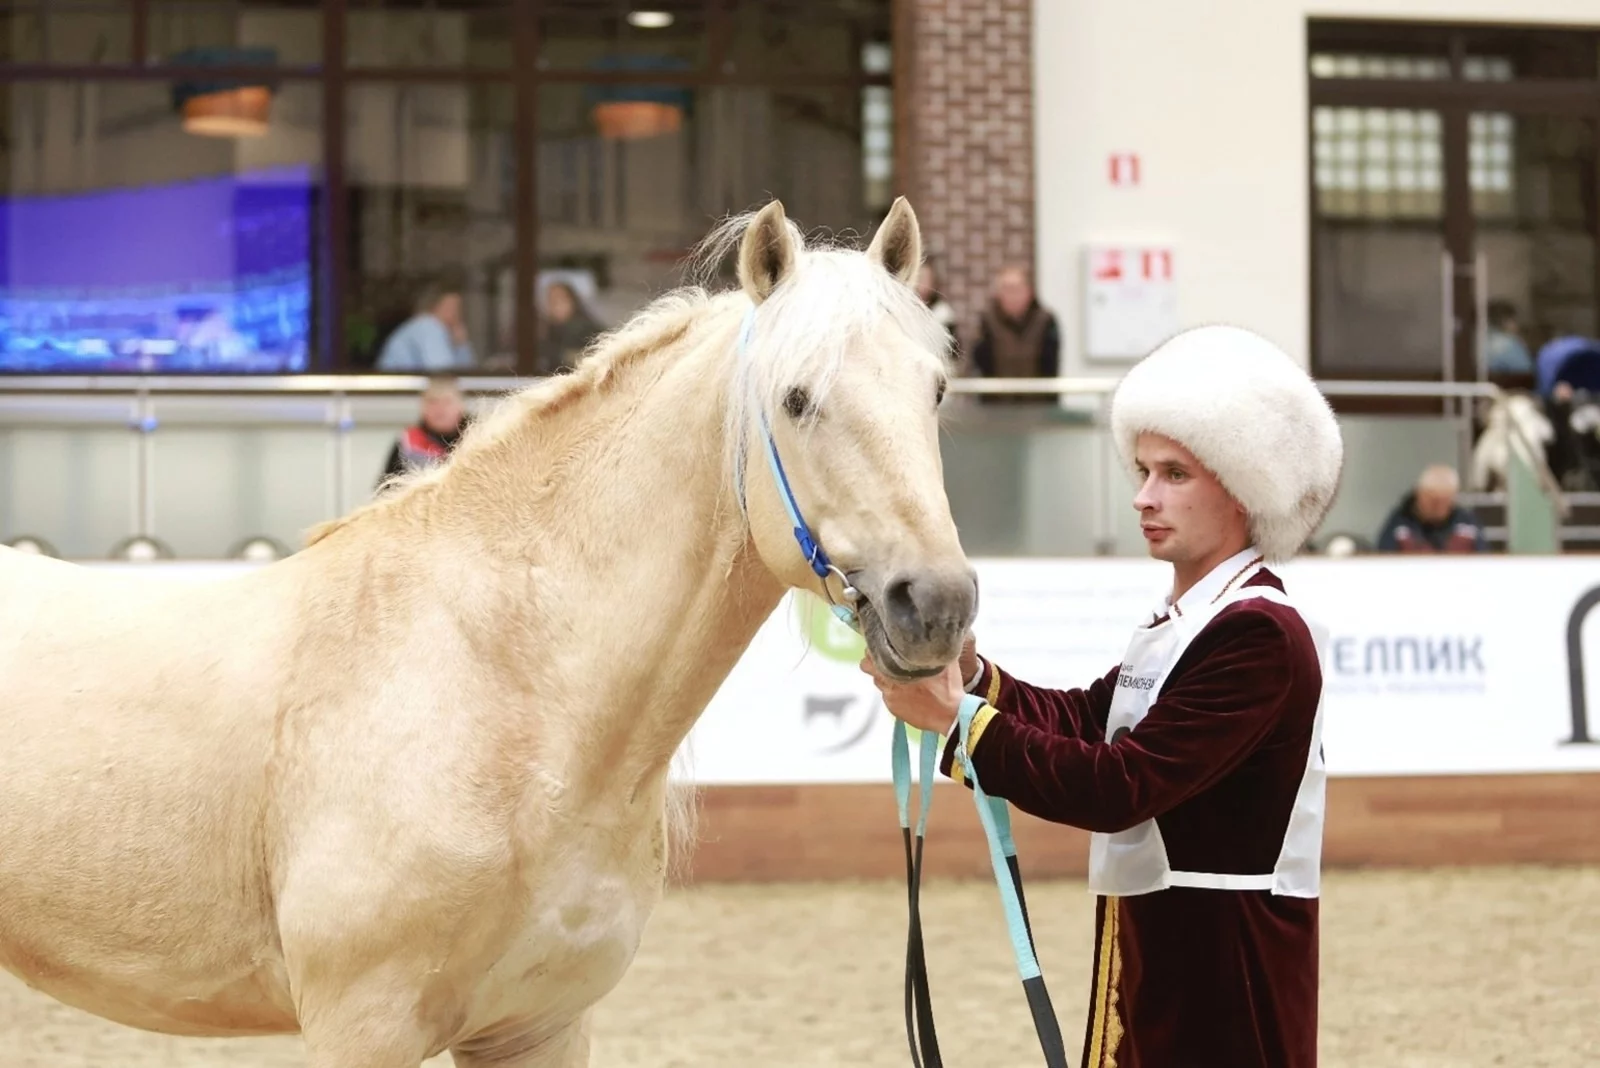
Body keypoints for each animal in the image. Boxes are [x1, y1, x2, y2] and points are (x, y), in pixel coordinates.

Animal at [0, 195, 972, 1061]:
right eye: (797, 399)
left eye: (935, 389)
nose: (936, 605)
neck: (499, 682)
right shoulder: (364, 1029)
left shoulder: (538, 1029)